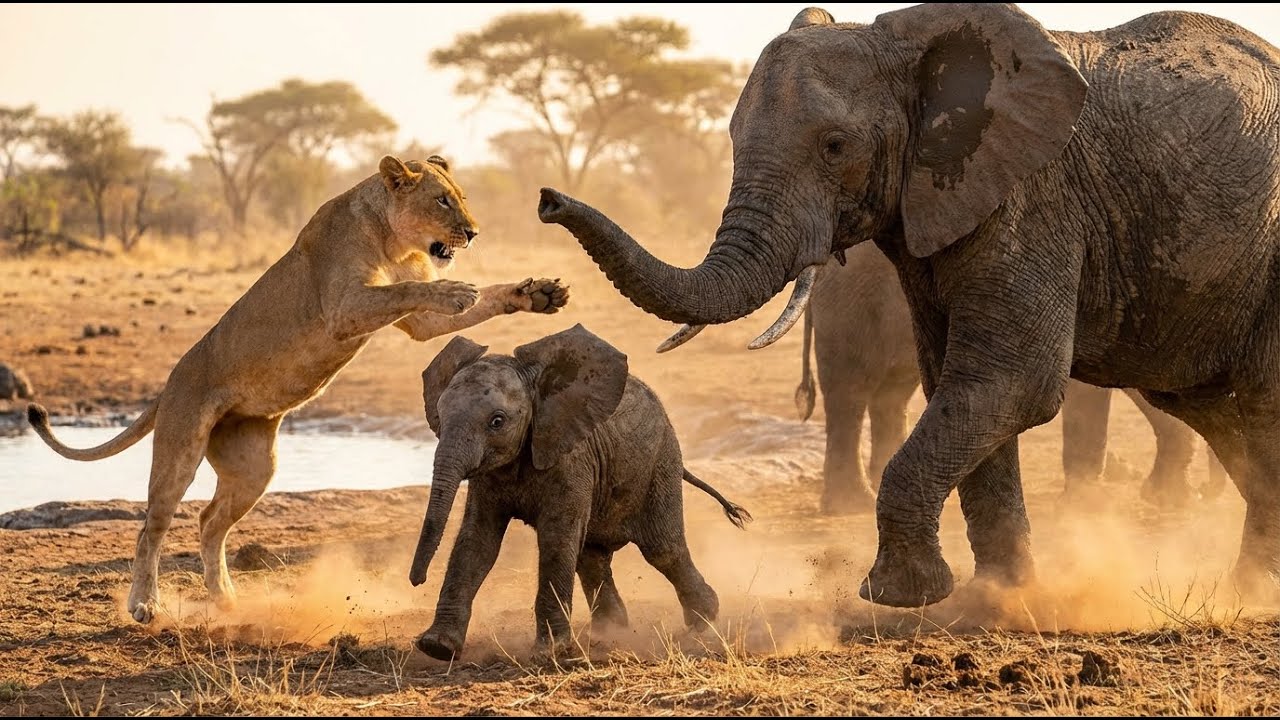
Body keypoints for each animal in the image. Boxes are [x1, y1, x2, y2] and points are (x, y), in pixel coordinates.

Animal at [27, 154, 569, 624]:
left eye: (461, 197)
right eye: (441, 201)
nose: (473, 233)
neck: (390, 238)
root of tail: (168, 384)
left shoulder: (417, 324)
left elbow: (470, 299)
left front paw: (537, 293)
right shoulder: (345, 308)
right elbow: (406, 288)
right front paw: (457, 289)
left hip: (254, 467)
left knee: (209, 522)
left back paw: (226, 599)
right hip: (180, 450)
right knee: (150, 528)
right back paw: (145, 605)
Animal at [409, 324, 750, 660]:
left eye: (497, 422)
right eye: (439, 416)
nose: (417, 580)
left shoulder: (572, 459)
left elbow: (556, 539)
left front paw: (549, 653)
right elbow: (477, 541)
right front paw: (437, 647)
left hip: (660, 463)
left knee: (663, 548)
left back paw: (703, 622)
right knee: (592, 556)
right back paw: (610, 632)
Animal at [794, 247, 1226, 513]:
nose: (1211, 493)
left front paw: (1173, 498)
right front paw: (1085, 505)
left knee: (892, 392)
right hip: (850, 305)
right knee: (850, 390)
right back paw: (852, 504)